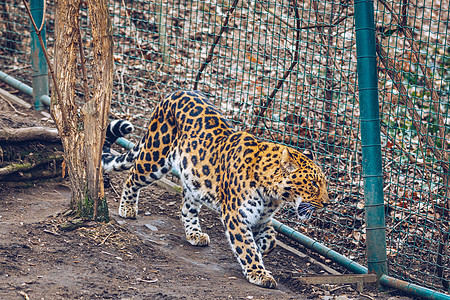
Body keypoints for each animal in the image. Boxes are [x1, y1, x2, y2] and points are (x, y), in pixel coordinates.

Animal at [102, 90, 328, 290]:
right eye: (314, 183)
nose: (326, 203)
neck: (273, 196)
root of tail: (172, 93)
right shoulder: (236, 214)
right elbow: (246, 247)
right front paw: (258, 273)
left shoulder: (261, 218)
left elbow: (270, 241)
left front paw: (259, 250)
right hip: (154, 157)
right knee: (132, 176)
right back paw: (127, 208)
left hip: (193, 179)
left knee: (187, 208)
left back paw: (195, 234)